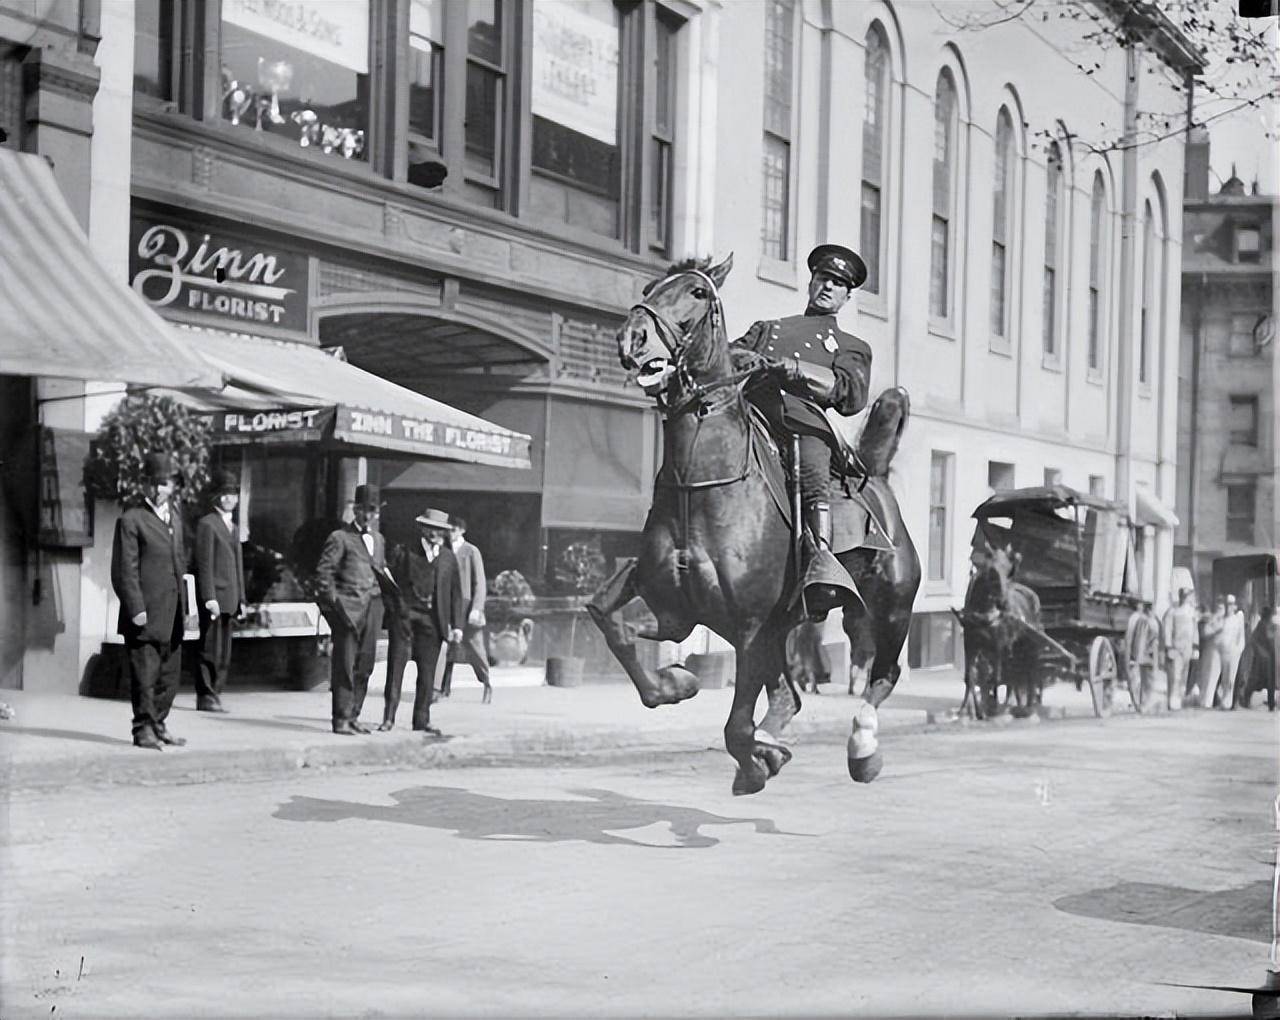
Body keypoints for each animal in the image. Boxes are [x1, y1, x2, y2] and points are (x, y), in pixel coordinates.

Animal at [581, 254, 921, 793]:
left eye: (697, 292)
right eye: (650, 287)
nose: (632, 339)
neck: (700, 486)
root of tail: (877, 475)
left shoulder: (748, 627)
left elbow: (736, 726)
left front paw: (758, 760)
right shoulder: (671, 602)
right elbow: (609, 620)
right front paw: (676, 683)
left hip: (889, 611)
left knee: (883, 676)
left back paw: (862, 749)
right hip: (789, 626)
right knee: (789, 696)